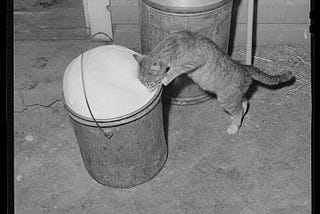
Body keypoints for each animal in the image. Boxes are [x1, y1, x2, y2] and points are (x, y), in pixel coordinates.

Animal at [132, 30, 292, 134]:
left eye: (149, 83)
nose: (146, 88)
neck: (174, 43)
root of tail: (245, 69)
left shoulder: (195, 61)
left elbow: (175, 70)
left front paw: (165, 79)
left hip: (226, 99)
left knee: (238, 110)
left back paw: (234, 126)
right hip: (234, 97)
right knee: (244, 102)